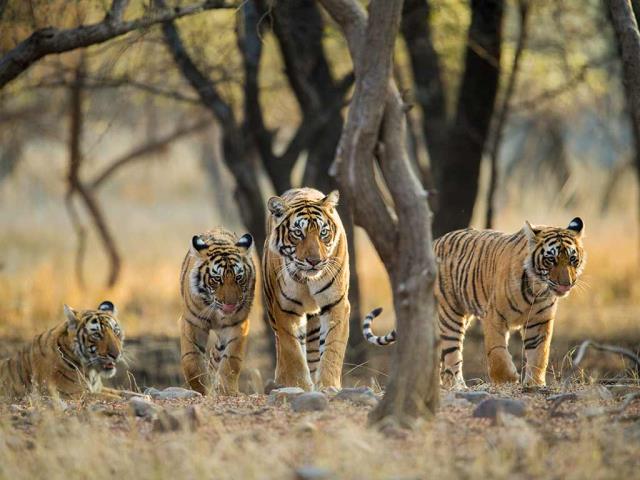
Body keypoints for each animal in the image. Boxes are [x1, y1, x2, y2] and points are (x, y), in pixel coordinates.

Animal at [179, 227, 255, 395]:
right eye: (216, 279)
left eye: (239, 277)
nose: (231, 304)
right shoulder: (192, 322)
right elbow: (191, 360)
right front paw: (201, 389)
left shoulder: (238, 325)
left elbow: (231, 361)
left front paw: (227, 391)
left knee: (217, 355)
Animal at [263, 187, 350, 391]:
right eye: (297, 233)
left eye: (323, 233)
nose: (314, 261)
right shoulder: (285, 309)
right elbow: (292, 351)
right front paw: (298, 385)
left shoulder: (336, 304)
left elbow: (333, 348)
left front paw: (328, 386)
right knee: (282, 346)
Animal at [362, 218, 586, 388]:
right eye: (551, 260)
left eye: (572, 260)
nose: (566, 284)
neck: (537, 289)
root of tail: (434, 242)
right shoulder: (494, 316)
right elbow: (497, 352)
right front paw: (507, 379)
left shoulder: (540, 322)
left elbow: (539, 353)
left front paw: (535, 384)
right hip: (450, 315)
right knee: (452, 356)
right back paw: (457, 386)